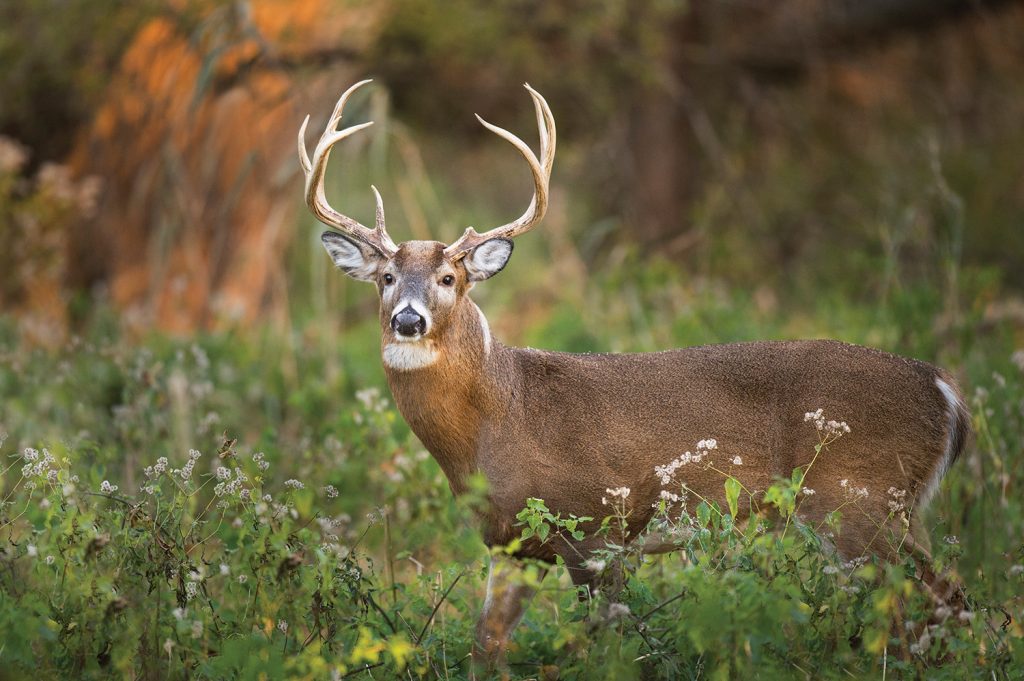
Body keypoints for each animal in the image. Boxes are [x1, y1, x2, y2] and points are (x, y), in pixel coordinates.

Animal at [296, 80, 966, 675]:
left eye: (449, 279)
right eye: (386, 278)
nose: (408, 319)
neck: (499, 417)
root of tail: (945, 390)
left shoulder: (598, 527)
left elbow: (608, 645)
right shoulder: (509, 543)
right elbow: (486, 647)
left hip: (858, 498)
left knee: (929, 599)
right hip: (889, 508)